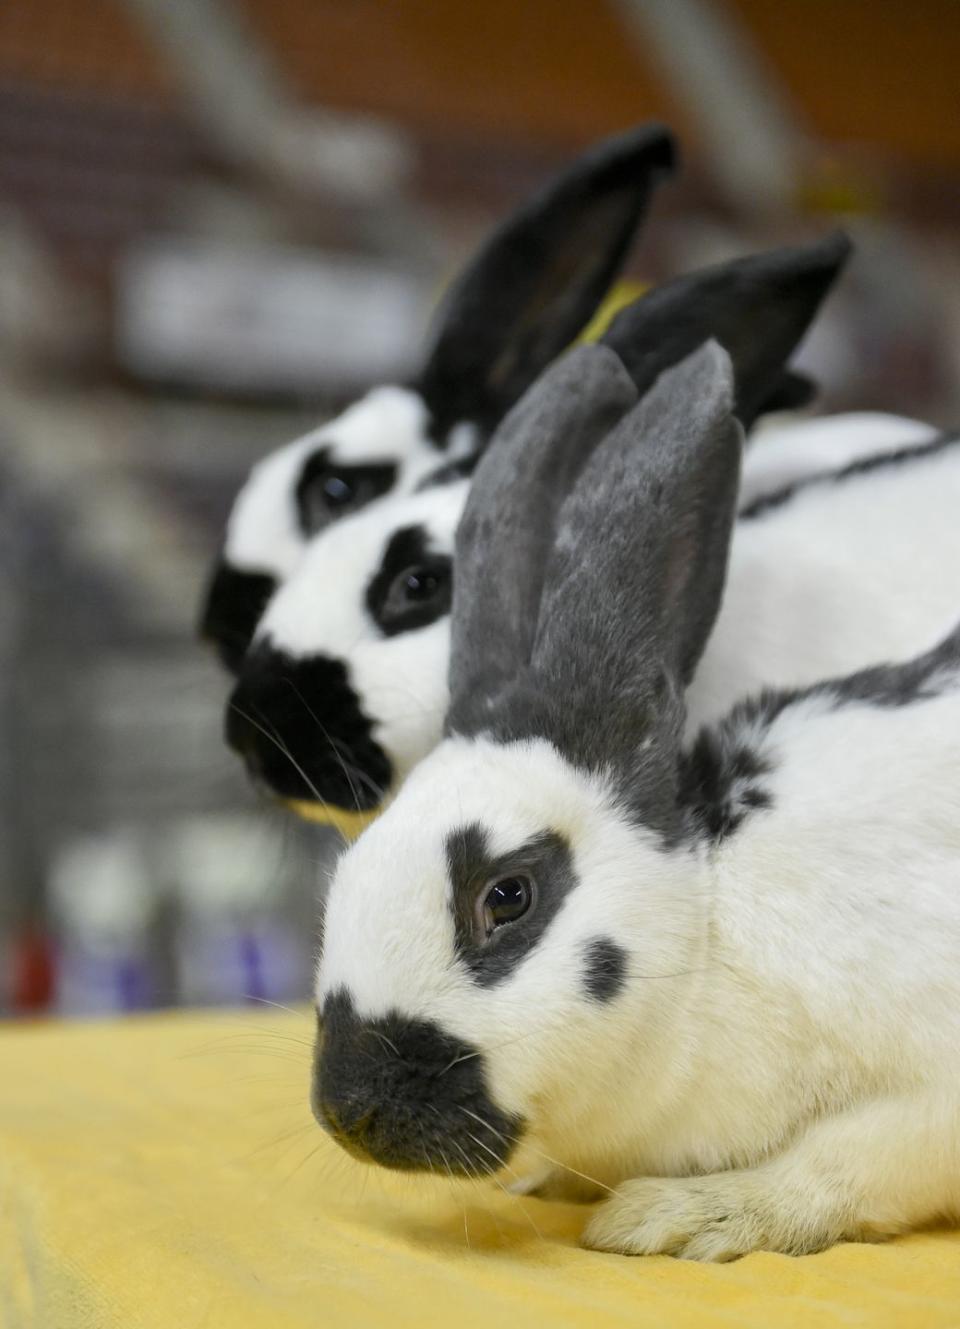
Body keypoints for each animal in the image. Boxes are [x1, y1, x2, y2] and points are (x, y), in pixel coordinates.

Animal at [312, 340, 957, 1254]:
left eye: (506, 896)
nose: (346, 1110)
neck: (711, 927)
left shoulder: (930, 1084)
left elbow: (845, 1162)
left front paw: (683, 1215)